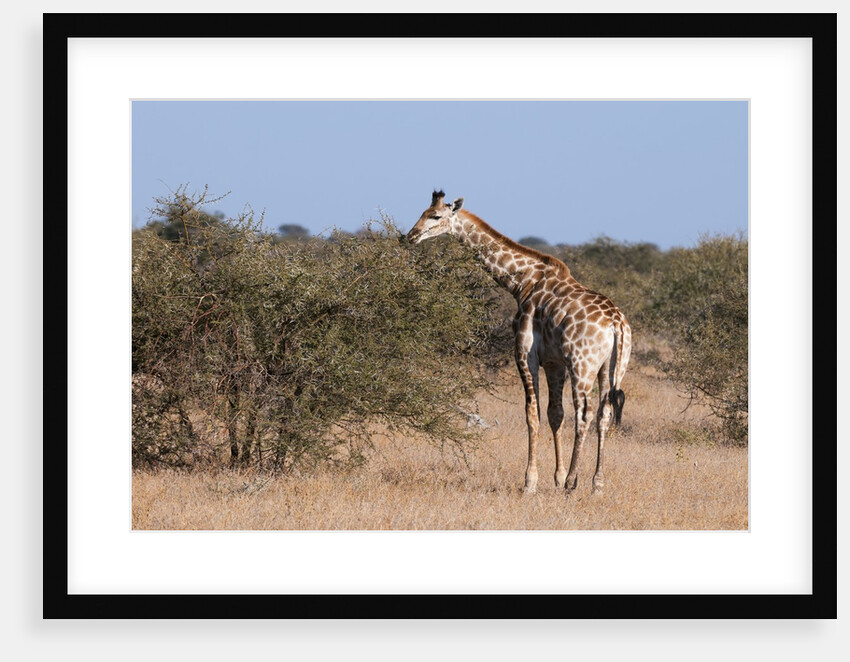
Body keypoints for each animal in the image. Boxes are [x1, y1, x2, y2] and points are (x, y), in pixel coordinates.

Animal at [406, 191, 631, 495]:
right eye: (422, 212)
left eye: (436, 216)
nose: (410, 236)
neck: (521, 282)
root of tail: (617, 324)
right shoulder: (555, 362)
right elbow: (555, 414)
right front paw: (557, 477)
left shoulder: (525, 354)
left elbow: (531, 414)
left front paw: (531, 482)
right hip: (611, 368)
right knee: (604, 414)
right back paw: (597, 484)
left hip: (582, 365)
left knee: (584, 414)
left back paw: (573, 482)